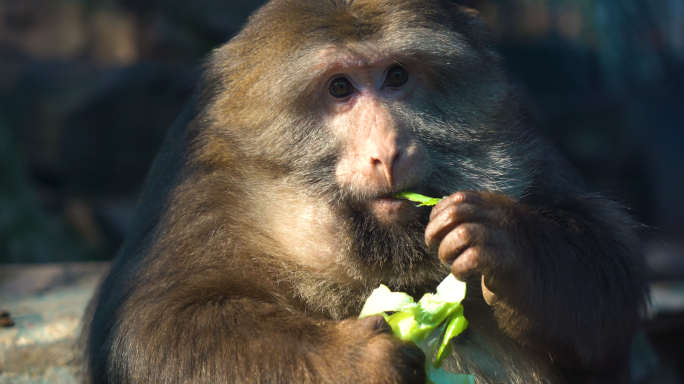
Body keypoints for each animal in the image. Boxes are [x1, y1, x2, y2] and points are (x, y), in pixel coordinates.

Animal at [80, 0, 648, 384]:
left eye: (397, 75)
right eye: (339, 88)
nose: (388, 151)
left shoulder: (520, 135)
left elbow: (609, 291)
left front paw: (506, 243)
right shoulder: (199, 186)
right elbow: (152, 331)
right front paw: (352, 359)